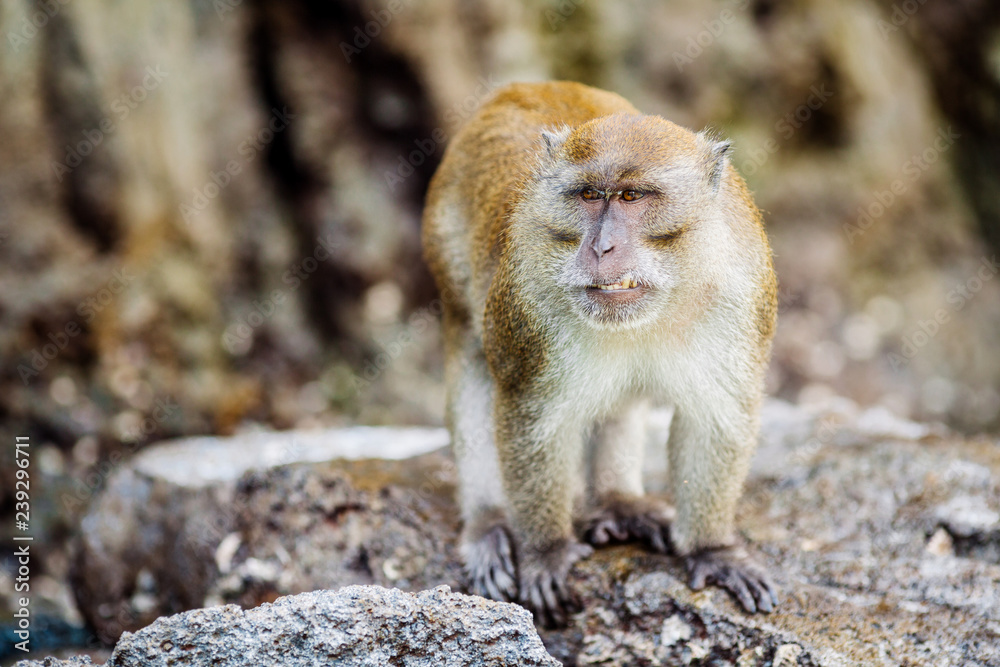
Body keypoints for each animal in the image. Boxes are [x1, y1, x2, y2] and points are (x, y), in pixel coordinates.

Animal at [418, 81, 776, 628]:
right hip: (447, 250)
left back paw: (618, 502)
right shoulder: (528, 305)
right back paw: (488, 525)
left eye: (631, 196)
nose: (601, 246)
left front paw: (712, 549)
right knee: (474, 372)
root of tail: (516, 87)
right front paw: (546, 551)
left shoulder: (740, 290)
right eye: (589, 196)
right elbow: (531, 419)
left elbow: (715, 420)